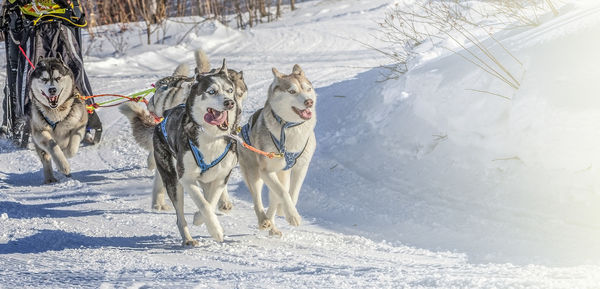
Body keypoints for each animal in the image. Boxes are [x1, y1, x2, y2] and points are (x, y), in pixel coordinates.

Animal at [151, 60, 238, 243]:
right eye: (211, 91)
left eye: (230, 90)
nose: (229, 102)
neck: (211, 137)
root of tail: (166, 114)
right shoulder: (186, 178)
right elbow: (203, 204)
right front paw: (215, 230)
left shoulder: (221, 177)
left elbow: (210, 201)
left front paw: (199, 218)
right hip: (173, 181)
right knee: (180, 217)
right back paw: (187, 239)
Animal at [237, 64, 316, 235]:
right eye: (292, 91)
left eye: (308, 89)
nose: (309, 102)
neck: (290, 128)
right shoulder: (266, 171)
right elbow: (283, 192)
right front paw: (292, 215)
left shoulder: (301, 167)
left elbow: (293, 193)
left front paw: (286, 211)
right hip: (255, 173)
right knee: (258, 200)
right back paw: (263, 221)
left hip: (281, 173)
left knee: (274, 198)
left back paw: (273, 224)